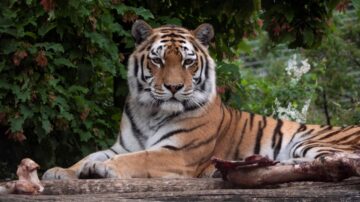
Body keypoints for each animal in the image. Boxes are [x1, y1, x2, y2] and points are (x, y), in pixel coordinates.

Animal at [42, 20, 360, 180]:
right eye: (157, 60)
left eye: (187, 61)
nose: (173, 87)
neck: (151, 112)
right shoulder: (120, 146)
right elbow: (89, 155)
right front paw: (59, 171)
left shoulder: (178, 153)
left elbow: (139, 158)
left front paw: (103, 169)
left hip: (311, 142)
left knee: (342, 163)